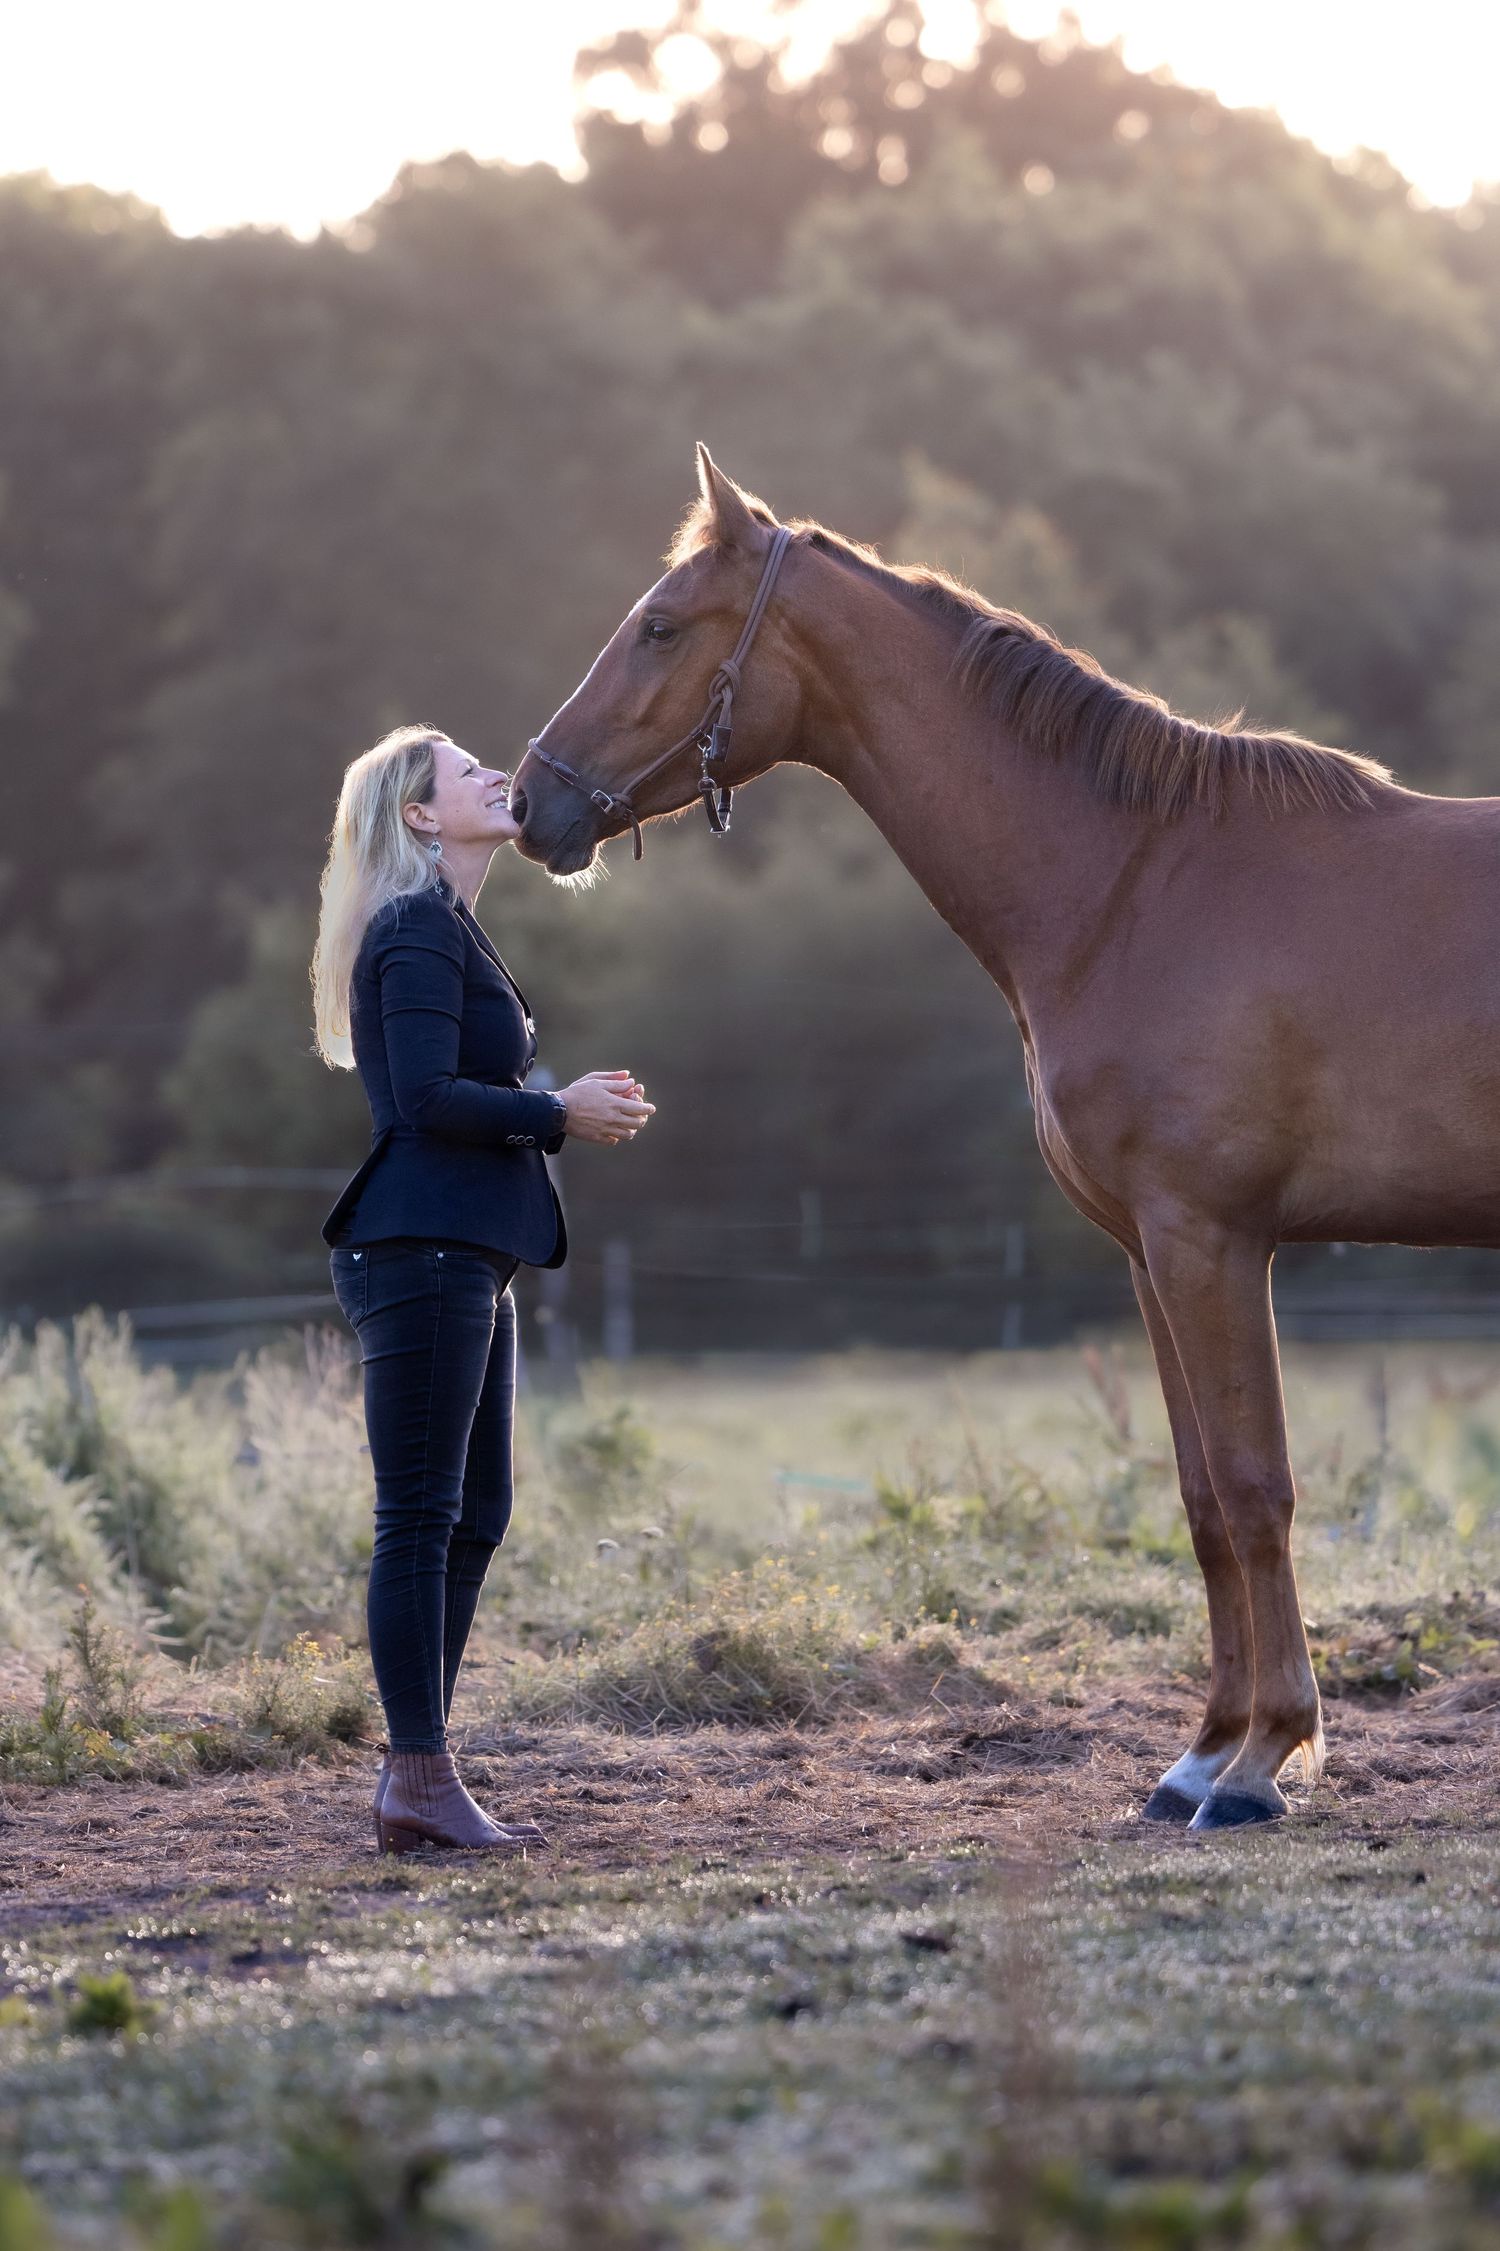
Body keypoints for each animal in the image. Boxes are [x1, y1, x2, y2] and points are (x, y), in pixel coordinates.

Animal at [513, 444, 1500, 1831]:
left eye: (658, 624)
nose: (531, 800)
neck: (1133, 884)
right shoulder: (1150, 1253)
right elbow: (1201, 1498)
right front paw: (1200, 1754)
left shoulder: (1212, 1240)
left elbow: (1257, 1490)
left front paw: (1263, 1764)